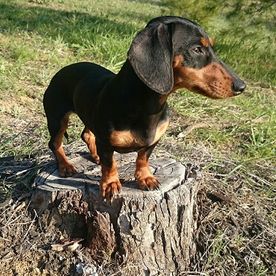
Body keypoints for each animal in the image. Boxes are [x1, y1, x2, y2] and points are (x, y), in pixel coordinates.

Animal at [43, 16, 246, 199]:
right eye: (197, 49)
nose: (242, 86)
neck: (149, 106)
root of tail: (63, 70)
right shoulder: (106, 142)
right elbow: (110, 164)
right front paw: (110, 184)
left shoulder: (154, 140)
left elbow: (143, 158)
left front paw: (145, 178)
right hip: (57, 118)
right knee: (55, 143)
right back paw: (65, 166)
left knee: (86, 134)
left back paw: (95, 156)